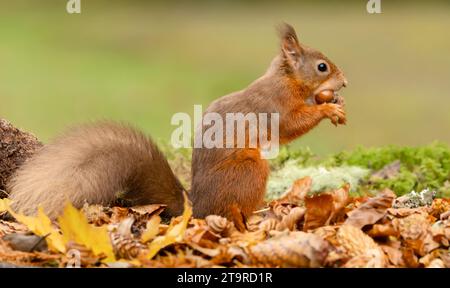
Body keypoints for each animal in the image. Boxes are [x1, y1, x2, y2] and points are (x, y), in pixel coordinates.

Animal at [6, 23, 348, 220]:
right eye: (322, 66)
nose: (344, 82)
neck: (287, 80)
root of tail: (197, 207)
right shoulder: (275, 105)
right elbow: (291, 125)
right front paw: (328, 110)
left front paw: (333, 104)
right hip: (251, 169)